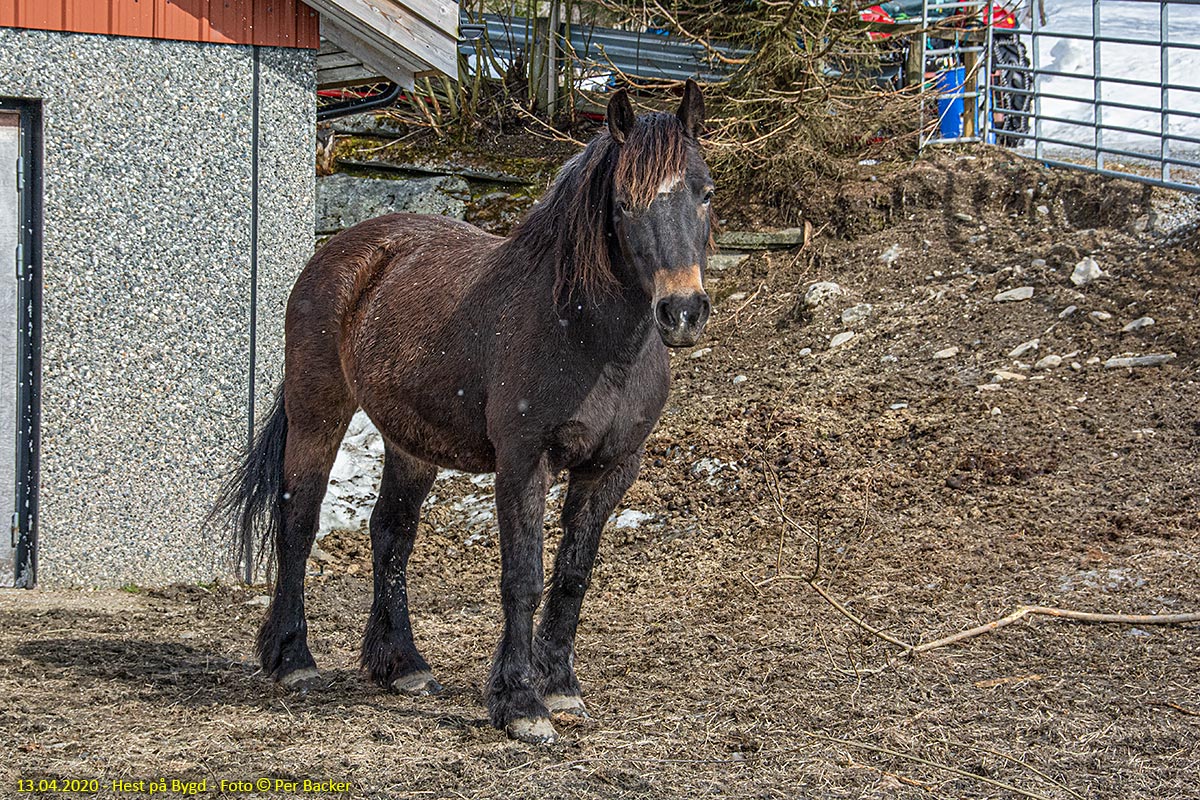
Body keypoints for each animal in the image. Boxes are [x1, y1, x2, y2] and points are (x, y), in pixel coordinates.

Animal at [218, 82, 710, 743]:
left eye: (704, 191)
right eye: (625, 203)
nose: (682, 311)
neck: (588, 336)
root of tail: (343, 250)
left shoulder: (611, 469)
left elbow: (572, 575)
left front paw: (560, 687)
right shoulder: (523, 463)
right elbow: (523, 576)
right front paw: (520, 702)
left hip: (410, 442)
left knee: (391, 532)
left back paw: (403, 665)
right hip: (318, 413)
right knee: (298, 519)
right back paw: (293, 658)